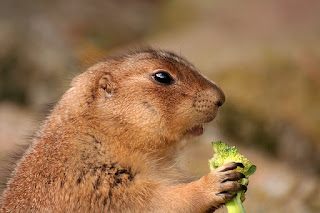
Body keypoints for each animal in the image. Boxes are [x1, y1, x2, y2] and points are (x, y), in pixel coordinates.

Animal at [0, 48, 246, 213]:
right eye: (162, 77)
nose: (221, 97)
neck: (100, 134)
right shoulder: (95, 184)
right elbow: (156, 202)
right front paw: (219, 180)